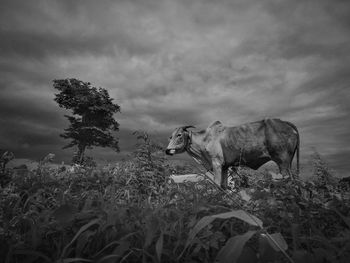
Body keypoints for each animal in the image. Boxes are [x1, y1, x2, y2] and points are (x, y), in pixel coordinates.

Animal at [165, 119, 300, 190]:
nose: (167, 150)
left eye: (179, 135)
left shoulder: (216, 163)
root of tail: (286, 122)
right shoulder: (225, 166)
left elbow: (217, 184)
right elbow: (224, 186)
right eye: (170, 136)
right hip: (288, 163)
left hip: (282, 162)